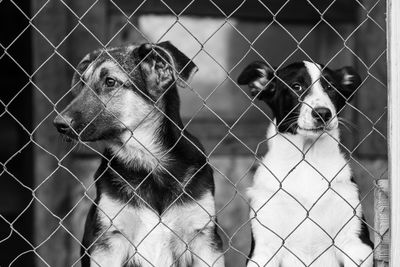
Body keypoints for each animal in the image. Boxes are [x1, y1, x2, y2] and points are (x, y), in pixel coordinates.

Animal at [53, 42, 225, 267]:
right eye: (82, 83)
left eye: (110, 82)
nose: (58, 124)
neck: (148, 161)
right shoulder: (108, 240)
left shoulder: (204, 237)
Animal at [238, 61, 372, 267]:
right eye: (296, 86)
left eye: (330, 87)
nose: (323, 113)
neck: (307, 160)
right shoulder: (264, 250)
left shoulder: (355, 244)